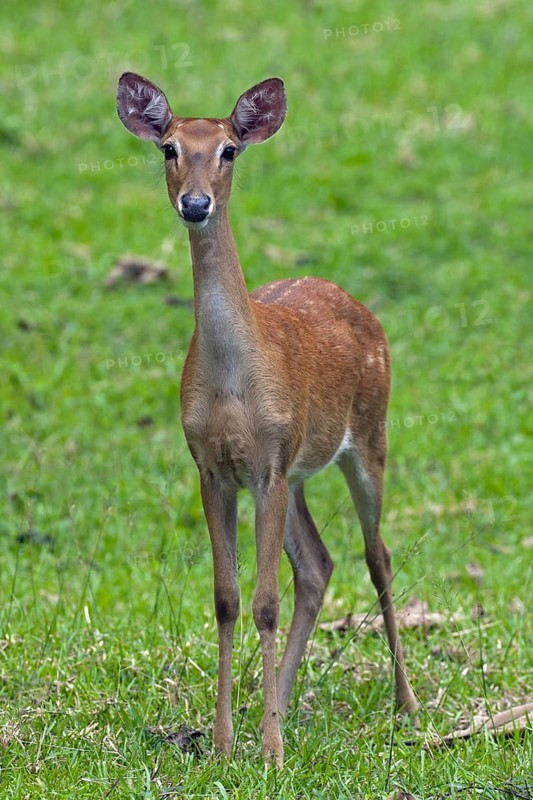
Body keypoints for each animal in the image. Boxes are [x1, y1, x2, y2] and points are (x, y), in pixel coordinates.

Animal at [116, 72, 418, 768]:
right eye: (169, 148)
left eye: (229, 149)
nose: (195, 203)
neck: (233, 387)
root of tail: (360, 306)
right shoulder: (215, 468)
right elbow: (229, 600)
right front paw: (228, 743)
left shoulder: (270, 462)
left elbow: (265, 601)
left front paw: (273, 753)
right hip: (296, 473)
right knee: (318, 564)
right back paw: (272, 706)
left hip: (368, 436)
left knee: (376, 554)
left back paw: (406, 704)